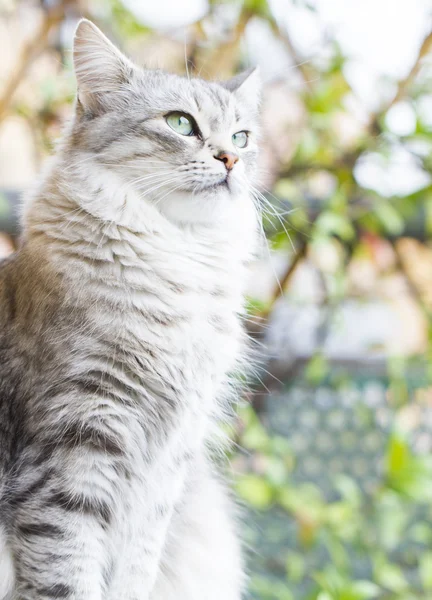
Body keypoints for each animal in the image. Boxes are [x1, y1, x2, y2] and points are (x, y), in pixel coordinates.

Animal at [0, 18, 260, 600]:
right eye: (181, 123)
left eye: (241, 138)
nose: (230, 160)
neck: (178, 258)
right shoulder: (75, 446)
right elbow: (68, 576)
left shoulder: (164, 469)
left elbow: (135, 570)